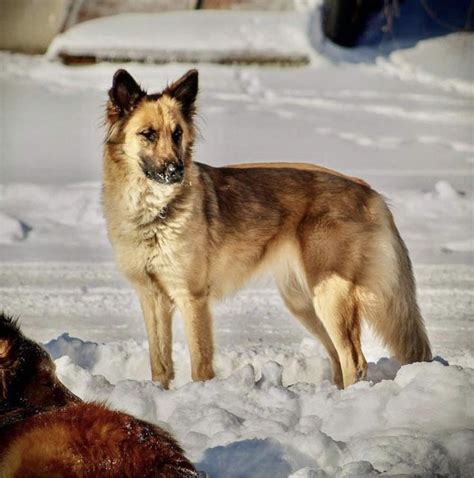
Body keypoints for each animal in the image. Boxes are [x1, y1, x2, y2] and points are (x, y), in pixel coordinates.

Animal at [102, 69, 432, 390]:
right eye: (148, 134)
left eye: (177, 133)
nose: (177, 171)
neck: (154, 212)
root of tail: (367, 189)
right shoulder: (151, 298)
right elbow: (160, 365)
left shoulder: (192, 298)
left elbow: (200, 365)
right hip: (302, 302)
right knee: (338, 357)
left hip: (330, 298)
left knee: (354, 360)